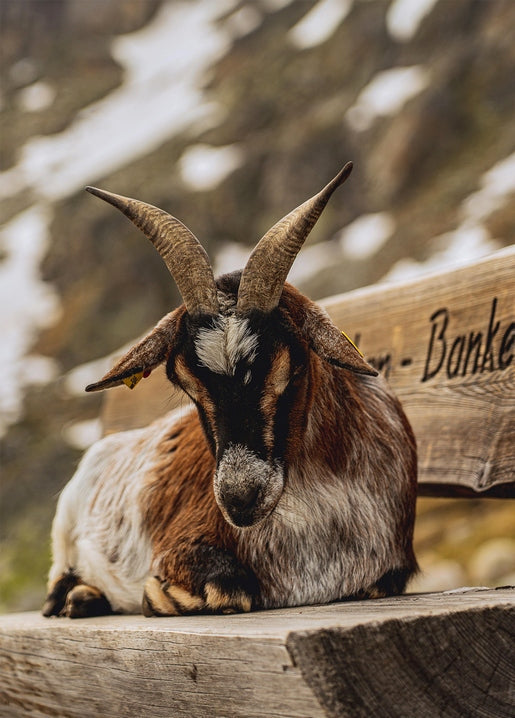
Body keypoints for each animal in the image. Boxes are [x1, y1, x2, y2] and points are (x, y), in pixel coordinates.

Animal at [43, 162, 418, 618]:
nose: (239, 498)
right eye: (184, 383)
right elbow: (230, 588)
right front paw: (155, 596)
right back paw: (78, 597)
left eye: (292, 366)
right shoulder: (180, 546)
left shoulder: (391, 570)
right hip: (64, 533)